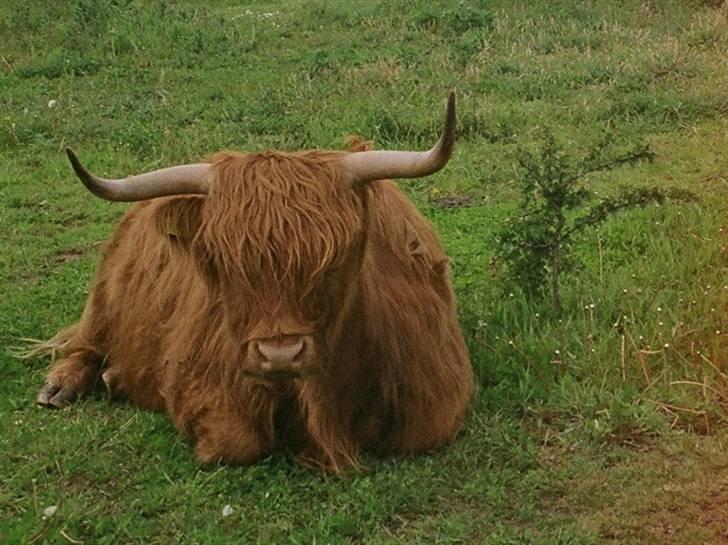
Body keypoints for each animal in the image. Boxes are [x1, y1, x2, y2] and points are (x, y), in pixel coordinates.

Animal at [34, 92, 473, 472]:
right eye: (221, 263)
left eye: (334, 261)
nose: (280, 354)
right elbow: (235, 442)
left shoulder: (437, 401)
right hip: (104, 297)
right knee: (84, 342)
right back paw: (61, 386)